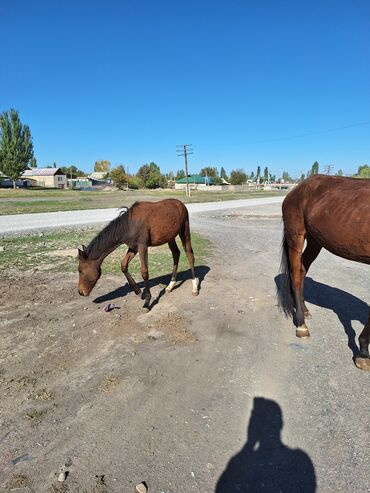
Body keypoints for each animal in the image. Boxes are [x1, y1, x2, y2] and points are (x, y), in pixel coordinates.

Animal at [278, 173, 370, 368]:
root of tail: (298, 188)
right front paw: (363, 351)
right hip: (296, 235)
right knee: (296, 274)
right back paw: (301, 325)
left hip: (315, 240)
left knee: (302, 270)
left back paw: (304, 309)